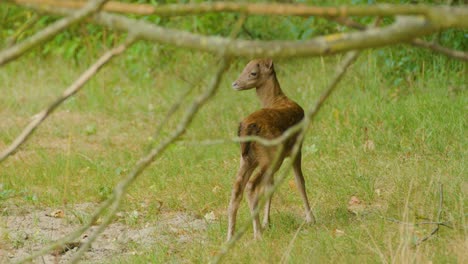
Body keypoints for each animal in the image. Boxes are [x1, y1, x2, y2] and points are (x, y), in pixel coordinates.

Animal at [227, 58, 314, 241]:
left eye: (252, 72)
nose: (235, 83)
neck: (278, 99)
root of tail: (247, 128)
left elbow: (270, 186)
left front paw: (267, 222)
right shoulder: (297, 147)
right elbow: (300, 182)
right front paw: (311, 219)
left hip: (247, 159)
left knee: (237, 189)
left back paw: (230, 237)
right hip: (270, 156)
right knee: (251, 186)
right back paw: (257, 234)